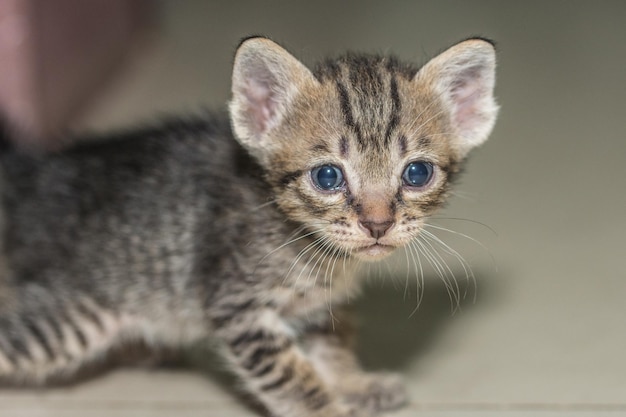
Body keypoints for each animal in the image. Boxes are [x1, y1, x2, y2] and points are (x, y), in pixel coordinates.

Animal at [0, 36, 498, 416]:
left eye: (417, 173)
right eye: (327, 177)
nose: (378, 224)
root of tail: (33, 177)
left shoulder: (318, 304)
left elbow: (332, 344)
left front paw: (352, 383)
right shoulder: (239, 307)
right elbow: (291, 377)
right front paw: (327, 407)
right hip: (71, 321)